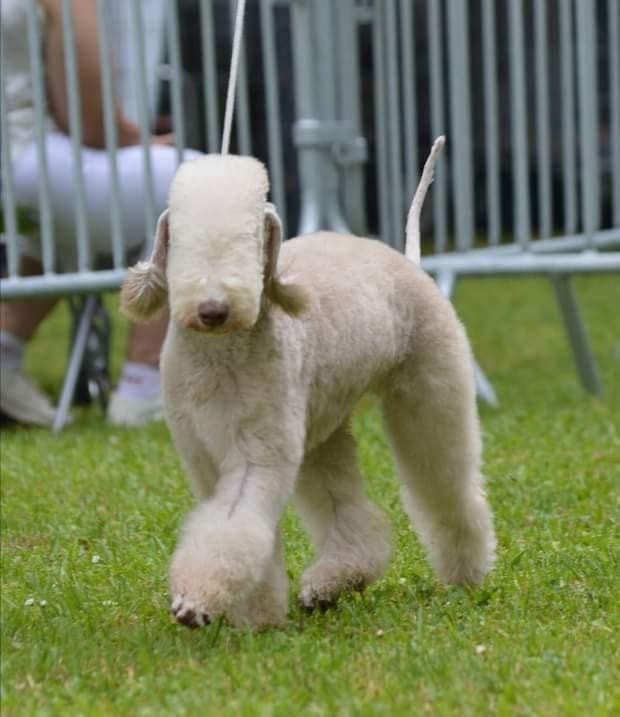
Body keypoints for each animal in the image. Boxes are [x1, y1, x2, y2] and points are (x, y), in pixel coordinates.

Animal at [123, 138, 496, 628]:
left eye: (251, 239)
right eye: (180, 238)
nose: (213, 310)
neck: (219, 354)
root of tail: (408, 263)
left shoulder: (257, 456)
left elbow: (234, 526)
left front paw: (199, 603)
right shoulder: (202, 457)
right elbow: (241, 530)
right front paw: (254, 616)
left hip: (430, 395)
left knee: (446, 487)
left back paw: (466, 575)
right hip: (321, 431)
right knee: (349, 512)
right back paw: (331, 586)